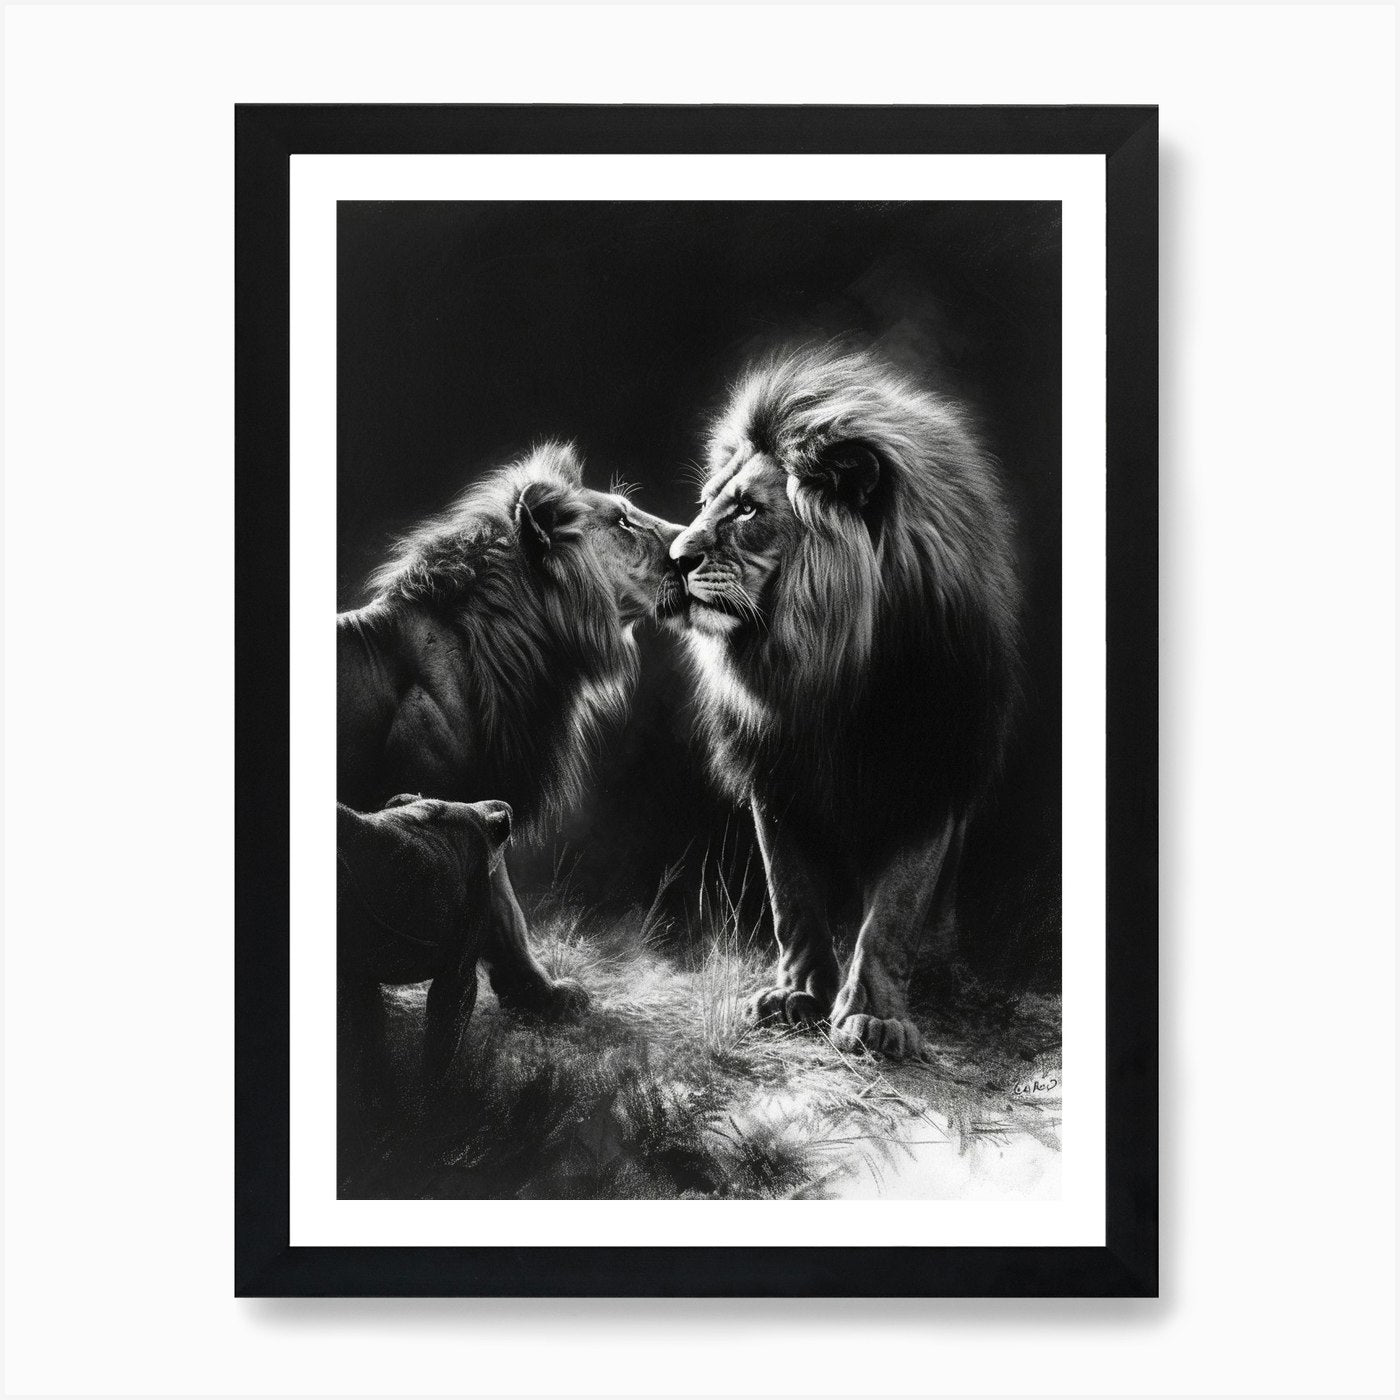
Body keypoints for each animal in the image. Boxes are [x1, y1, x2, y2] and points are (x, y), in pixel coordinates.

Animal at [339, 441, 682, 1019]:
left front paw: (530, 992)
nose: (697, 545)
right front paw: (542, 993)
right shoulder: (451, 797)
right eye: (623, 521)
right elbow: (503, 905)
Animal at [659, 345, 1020, 1060]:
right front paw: (798, 995)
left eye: (747, 511)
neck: (827, 666)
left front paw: (875, 1019)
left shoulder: (930, 776)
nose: (674, 556)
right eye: (708, 503)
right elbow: (793, 898)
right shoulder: (774, 774)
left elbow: (893, 915)